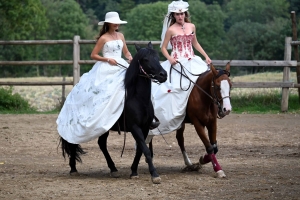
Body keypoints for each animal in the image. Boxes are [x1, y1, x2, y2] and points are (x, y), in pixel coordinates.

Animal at [59, 42, 168, 184]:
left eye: (157, 57)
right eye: (145, 59)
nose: (163, 75)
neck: (138, 99)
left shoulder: (144, 128)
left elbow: (140, 149)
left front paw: (134, 171)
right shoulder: (135, 128)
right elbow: (146, 150)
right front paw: (154, 174)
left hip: (103, 128)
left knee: (102, 144)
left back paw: (113, 169)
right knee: (73, 143)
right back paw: (73, 169)